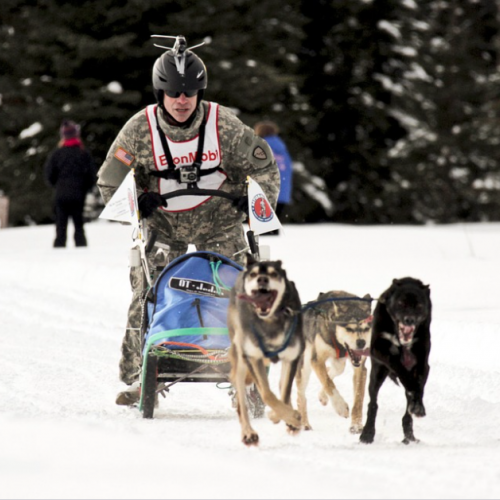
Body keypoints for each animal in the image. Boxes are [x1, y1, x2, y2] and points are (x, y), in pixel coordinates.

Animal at [228, 254, 304, 446]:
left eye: (273, 273)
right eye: (254, 274)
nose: (262, 279)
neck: (270, 321)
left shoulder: (292, 357)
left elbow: (284, 393)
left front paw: (287, 417)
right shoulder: (253, 358)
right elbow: (267, 394)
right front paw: (287, 416)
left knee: (281, 387)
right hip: (241, 359)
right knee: (241, 402)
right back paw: (248, 433)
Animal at [296, 292, 372, 432]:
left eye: (366, 328)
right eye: (349, 329)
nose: (361, 343)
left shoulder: (360, 368)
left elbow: (358, 399)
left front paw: (356, 425)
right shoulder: (316, 360)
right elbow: (328, 383)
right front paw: (340, 407)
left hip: (339, 363)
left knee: (334, 370)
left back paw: (323, 396)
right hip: (305, 365)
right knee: (301, 395)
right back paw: (304, 424)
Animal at [360, 278, 434, 446]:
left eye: (419, 306)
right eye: (401, 303)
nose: (409, 320)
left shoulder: (422, 363)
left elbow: (418, 387)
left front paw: (418, 406)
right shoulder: (379, 349)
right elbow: (399, 368)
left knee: (407, 414)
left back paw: (409, 435)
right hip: (377, 374)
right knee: (373, 403)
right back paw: (367, 433)